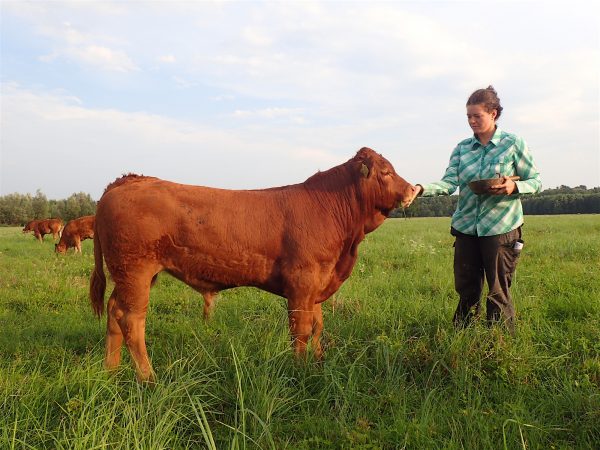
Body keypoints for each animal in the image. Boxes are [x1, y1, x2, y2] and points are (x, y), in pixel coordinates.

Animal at [90, 147, 418, 380]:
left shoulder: (317, 284)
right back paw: (149, 378)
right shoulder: (302, 282)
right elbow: (301, 329)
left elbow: (318, 326)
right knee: (132, 321)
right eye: (386, 172)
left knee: (114, 312)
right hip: (136, 272)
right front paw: (300, 370)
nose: (415, 190)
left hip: (128, 276)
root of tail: (127, 180)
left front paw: (319, 362)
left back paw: (111, 371)